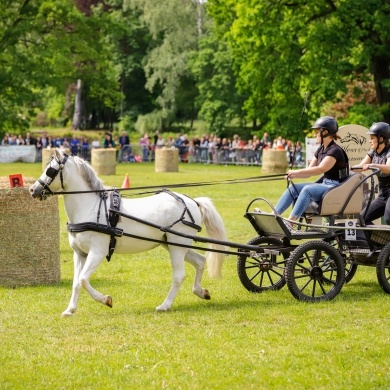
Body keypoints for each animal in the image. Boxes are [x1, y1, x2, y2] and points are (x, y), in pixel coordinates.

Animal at [29, 148, 227, 316]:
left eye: (50, 170)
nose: (32, 189)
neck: (90, 207)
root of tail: (193, 201)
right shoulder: (80, 254)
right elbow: (76, 283)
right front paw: (70, 310)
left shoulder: (97, 252)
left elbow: (84, 280)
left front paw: (106, 300)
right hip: (172, 244)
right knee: (200, 261)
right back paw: (201, 292)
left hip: (177, 246)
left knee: (179, 275)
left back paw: (165, 305)